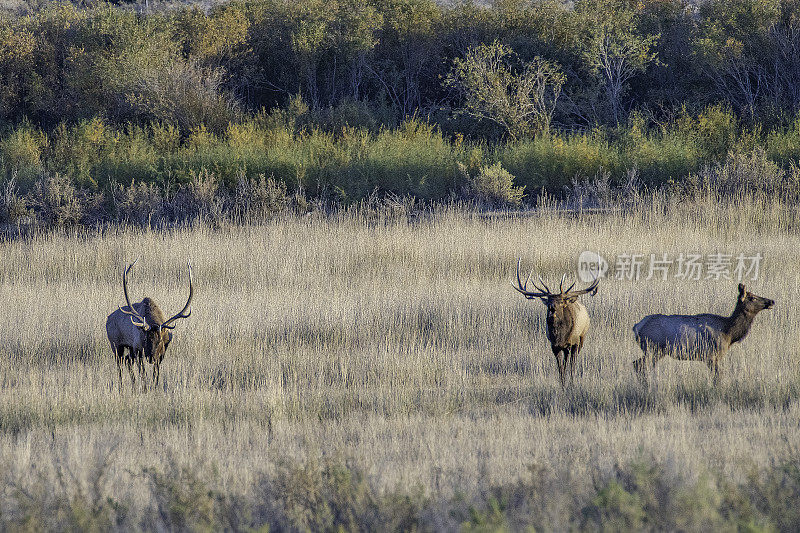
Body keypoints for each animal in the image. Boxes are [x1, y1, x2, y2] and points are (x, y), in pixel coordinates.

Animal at [106, 260, 194, 388]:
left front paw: (155, 387)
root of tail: (108, 319)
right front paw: (145, 388)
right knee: (120, 364)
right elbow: (143, 374)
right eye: (146, 339)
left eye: (160, 341)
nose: (151, 357)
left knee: (128, 361)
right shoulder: (138, 349)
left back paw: (133, 385)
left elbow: (155, 374)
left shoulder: (161, 353)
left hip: (129, 349)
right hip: (116, 345)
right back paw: (121, 386)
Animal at [516, 258, 596, 386]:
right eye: (549, 301)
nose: (552, 307)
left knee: (572, 359)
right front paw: (562, 383)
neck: (560, 337)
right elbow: (560, 367)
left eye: (560, 301)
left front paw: (570, 383)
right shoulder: (554, 346)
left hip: (581, 338)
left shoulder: (572, 342)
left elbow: (570, 365)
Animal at [632, 282, 776, 382]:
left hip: (656, 351)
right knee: (639, 366)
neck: (729, 332)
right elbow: (717, 377)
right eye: (752, 297)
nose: (771, 301)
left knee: (637, 364)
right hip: (653, 349)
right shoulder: (711, 355)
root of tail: (636, 327)